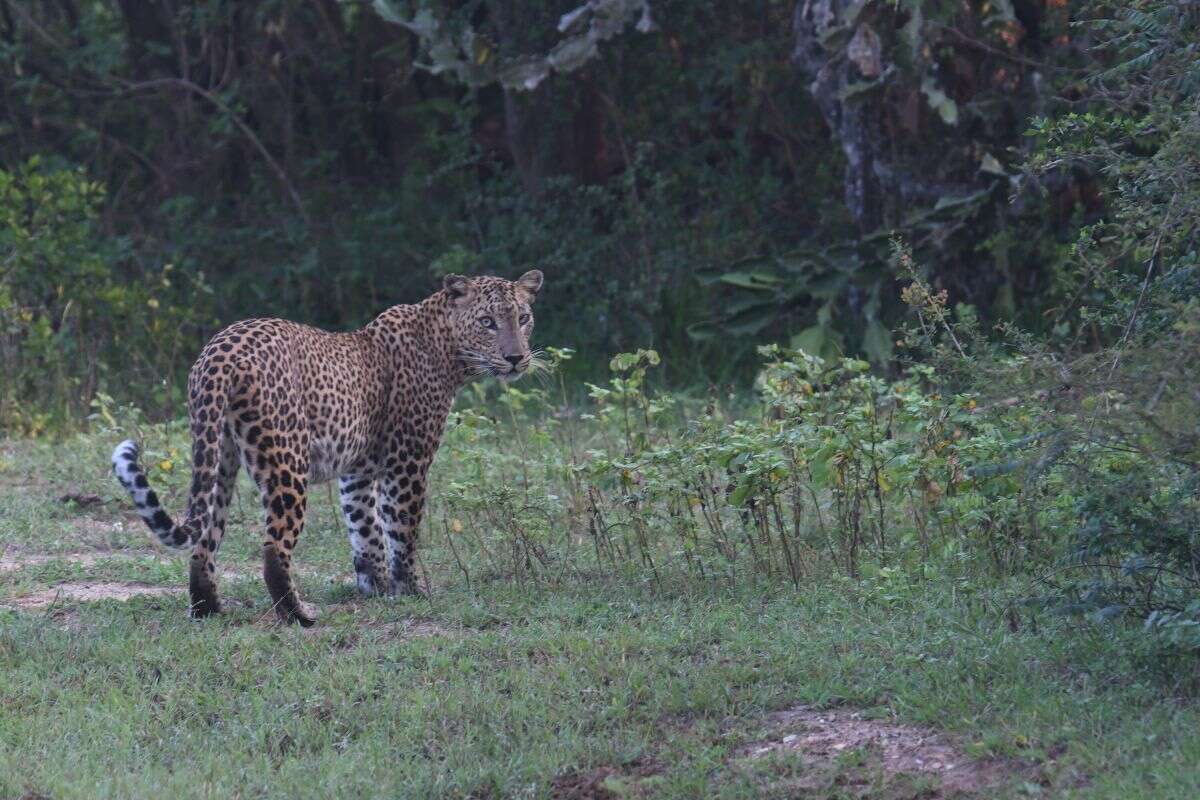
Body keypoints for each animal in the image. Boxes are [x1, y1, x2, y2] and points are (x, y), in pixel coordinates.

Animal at [112, 268, 544, 623]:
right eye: (488, 322)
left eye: (523, 318)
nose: (516, 358)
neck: (448, 349)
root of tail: (219, 351)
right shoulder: (407, 462)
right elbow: (401, 529)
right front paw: (410, 591)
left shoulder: (358, 473)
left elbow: (366, 530)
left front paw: (376, 589)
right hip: (287, 460)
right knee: (273, 550)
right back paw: (299, 615)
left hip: (219, 458)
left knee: (204, 541)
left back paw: (208, 610)